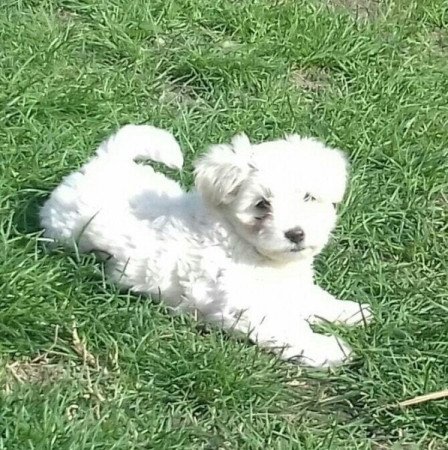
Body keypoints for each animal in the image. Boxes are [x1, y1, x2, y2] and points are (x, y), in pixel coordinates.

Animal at [41, 123, 372, 366]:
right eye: (261, 205)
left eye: (308, 197)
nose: (295, 234)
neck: (246, 244)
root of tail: (104, 161)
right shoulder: (244, 306)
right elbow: (290, 328)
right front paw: (327, 349)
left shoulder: (290, 285)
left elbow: (313, 297)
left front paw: (348, 311)